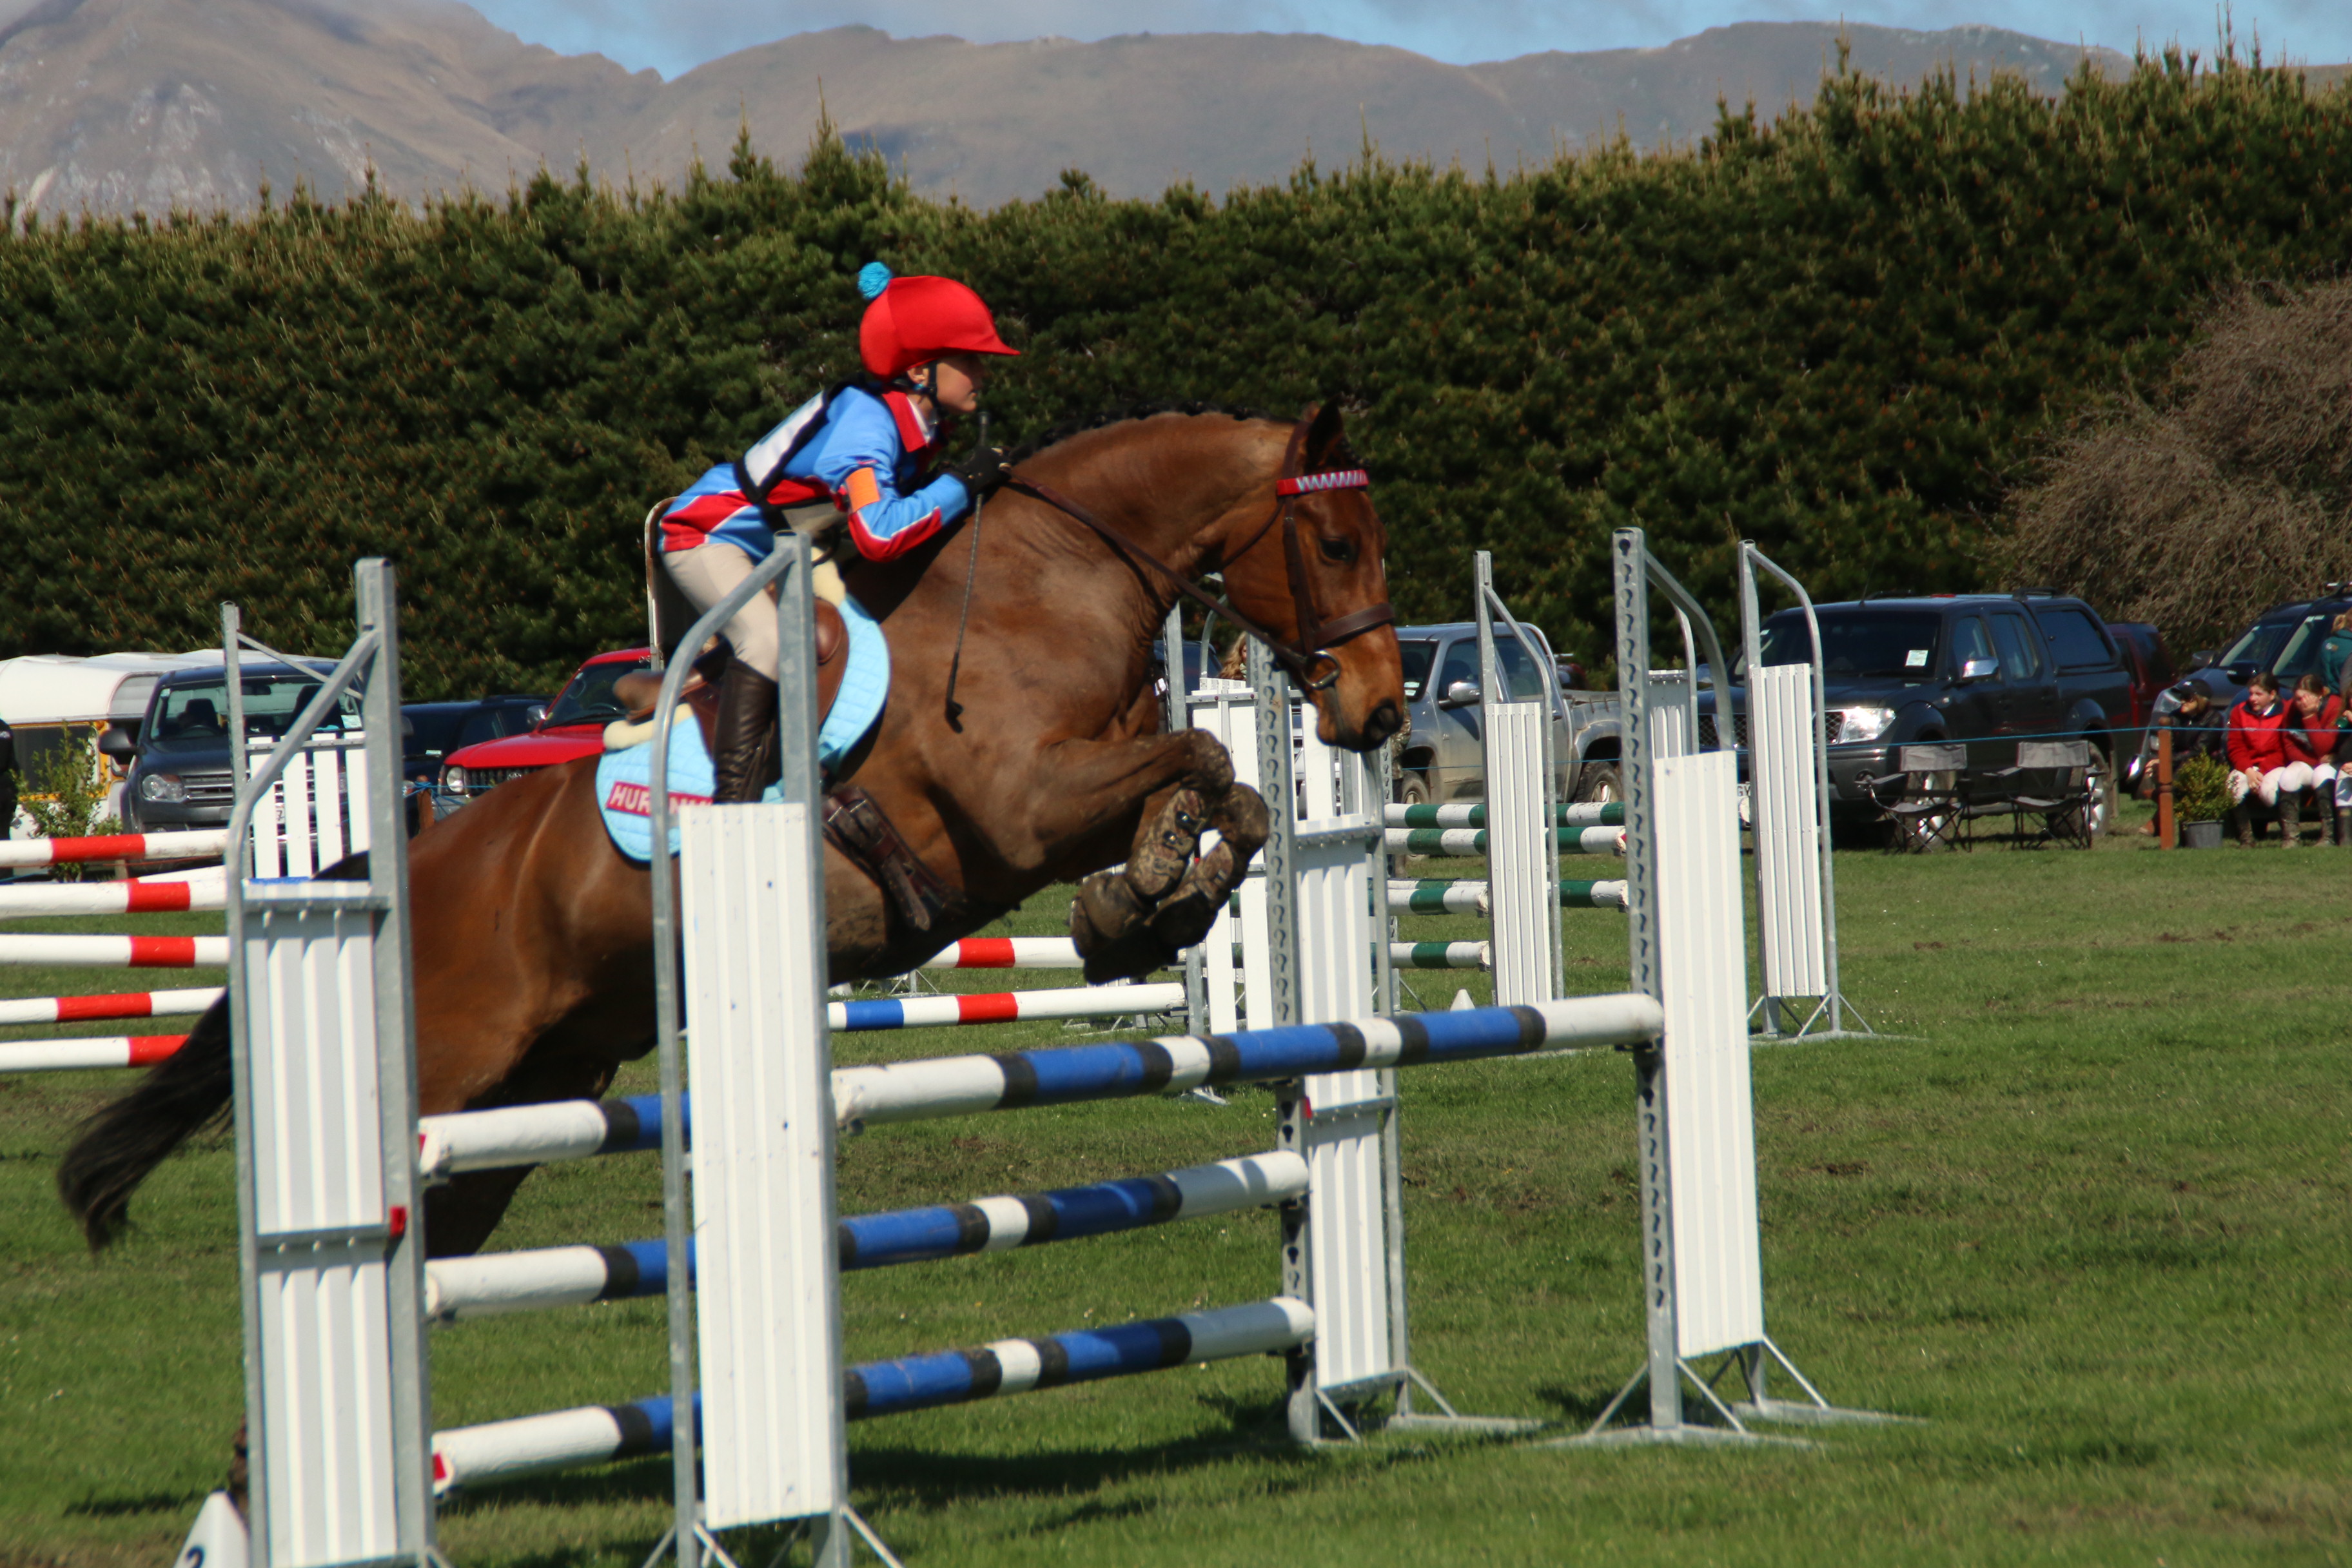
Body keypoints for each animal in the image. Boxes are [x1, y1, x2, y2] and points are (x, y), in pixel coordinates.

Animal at [64, 409, 1402, 1260]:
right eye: (1335, 544)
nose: (1378, 711)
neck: (1053, 574)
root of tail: (413, 859)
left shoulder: (1065, 807)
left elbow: (1227, 791)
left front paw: (1141, 903)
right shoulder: (1018, 807)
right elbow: (1207, 759)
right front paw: (1145, 893)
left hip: (537, 1088)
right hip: (451, 1071)